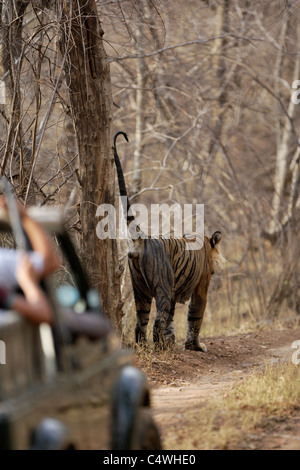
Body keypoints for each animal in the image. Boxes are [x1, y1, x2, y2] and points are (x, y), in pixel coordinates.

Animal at [113, 130, 224, 350]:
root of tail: (144, 238)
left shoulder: (173, 291)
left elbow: (172, 319)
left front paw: (172, 340)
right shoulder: (200, 287)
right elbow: (195, 317)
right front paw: (194, 346)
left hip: (140, 290)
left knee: (141, 321)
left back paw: (145, 346)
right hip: (161, 286)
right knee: (158, 320)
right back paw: (160, 348)